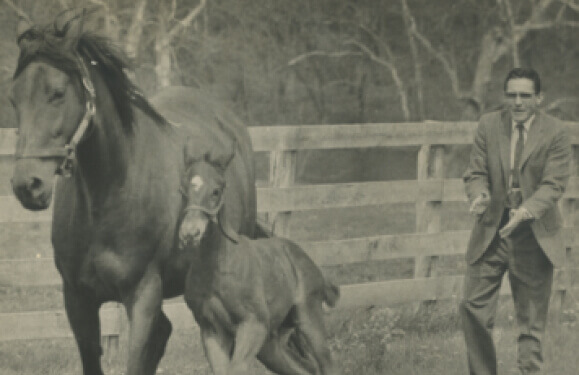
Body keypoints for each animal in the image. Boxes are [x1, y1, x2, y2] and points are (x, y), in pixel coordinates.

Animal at [9, 11, 258, 375]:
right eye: (13, 98)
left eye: (57, 92)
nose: (27, 185)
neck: (109, 196)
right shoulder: (78, 300)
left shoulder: (142, 298)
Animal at [177, 140, 340, 375]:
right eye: (182, 191)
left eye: (216, 191)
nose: (190, 233)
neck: (217, 267)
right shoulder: (211, 330)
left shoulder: (253, 325)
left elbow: (236, 369)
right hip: (272, 345)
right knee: (303, 369)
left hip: (309, 320)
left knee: (327, 365)